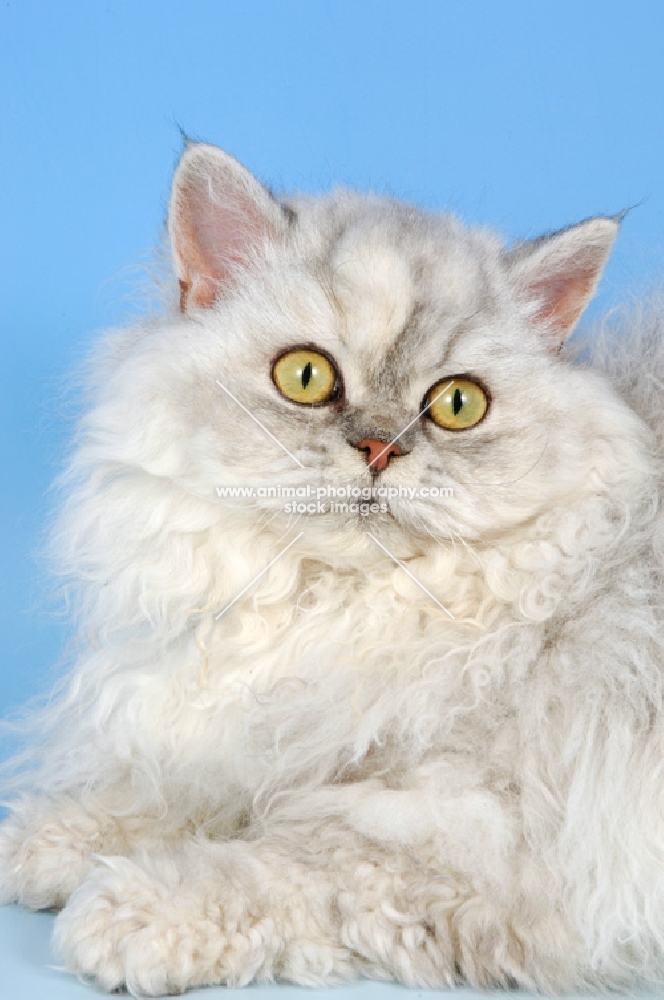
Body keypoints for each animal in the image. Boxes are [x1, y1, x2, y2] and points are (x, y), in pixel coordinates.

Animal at [1, 139, 664, 992]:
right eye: (306, 377)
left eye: (457, 405)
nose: (380, 448)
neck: (331, 610)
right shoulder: (256, 741)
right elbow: (167, 799)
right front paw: (45, 840)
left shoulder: (471, 839)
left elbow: (280, 864)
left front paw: (130, 910)